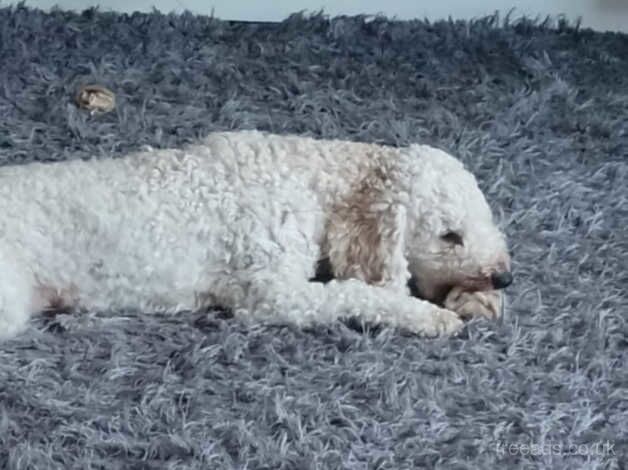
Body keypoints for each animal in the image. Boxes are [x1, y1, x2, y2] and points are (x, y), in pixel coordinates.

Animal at [0, 130, 512, 340]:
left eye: (487, 221)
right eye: (450, 236)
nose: (504, 276)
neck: (311, 181)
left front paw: (477, 300)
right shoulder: (272, 294)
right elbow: (356, 292)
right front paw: (427, 315)